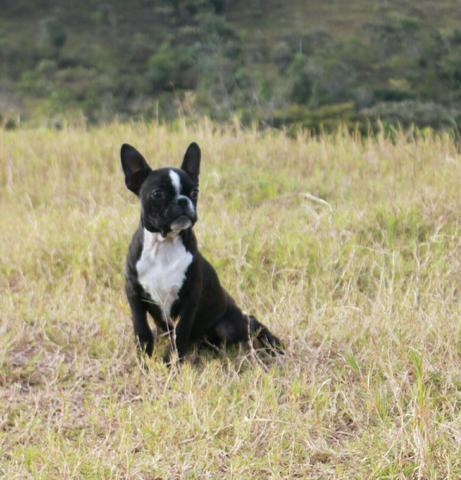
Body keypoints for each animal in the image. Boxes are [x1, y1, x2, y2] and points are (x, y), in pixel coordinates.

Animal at [120, 142, 282, 364]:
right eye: (158, 194)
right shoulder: (134, 292)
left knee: (251, 322)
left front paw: (171, 363)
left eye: (194, 192)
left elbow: (181, 332)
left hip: (230, 325)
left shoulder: (190, 298)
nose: (183, 201)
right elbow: (141, 328)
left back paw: (273, 344)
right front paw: (145, 359)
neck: (165, 244)